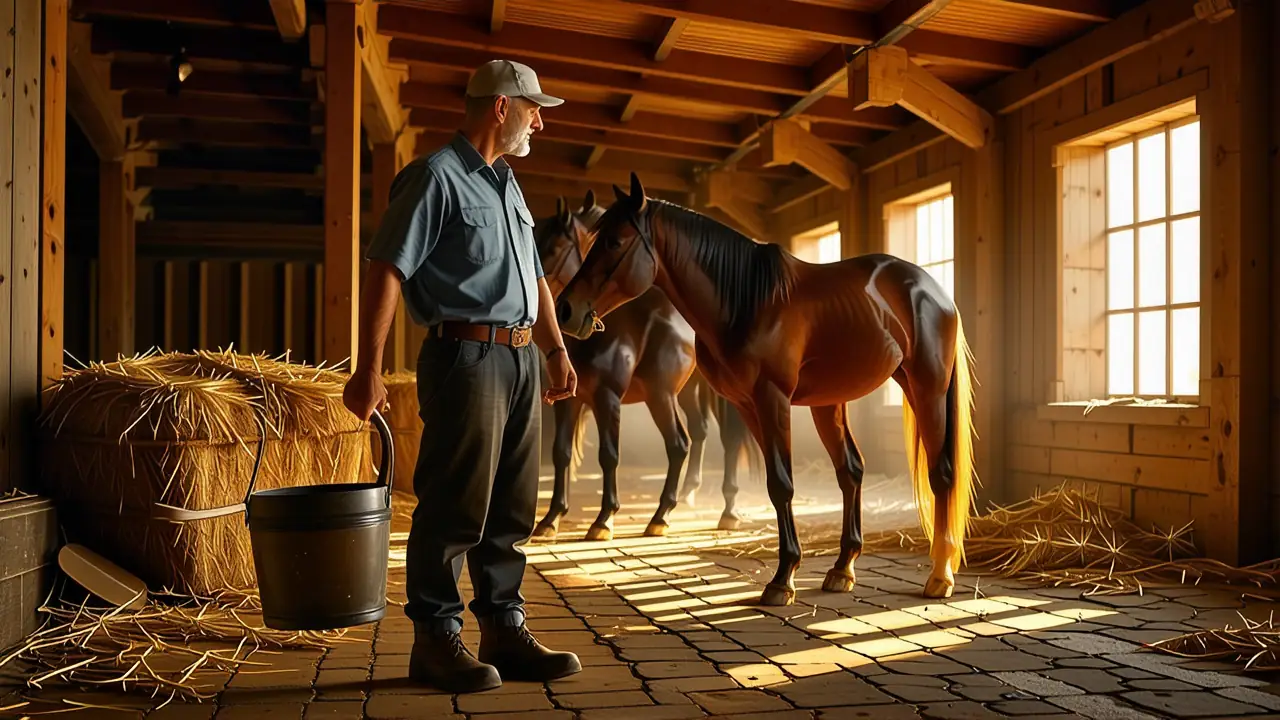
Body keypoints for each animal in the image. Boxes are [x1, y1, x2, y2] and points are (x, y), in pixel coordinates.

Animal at [533, 190, 762, 541]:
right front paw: (551, 518)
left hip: (665, 396)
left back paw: (702, 512)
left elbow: (609, 455)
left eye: (555, 248)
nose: (561, 310)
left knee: (701, 442)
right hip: (683, 392)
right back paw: (686, 496)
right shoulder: (568, 401)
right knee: (698, 432)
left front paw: (604, 520)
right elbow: (561, 453)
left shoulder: (607, 398)